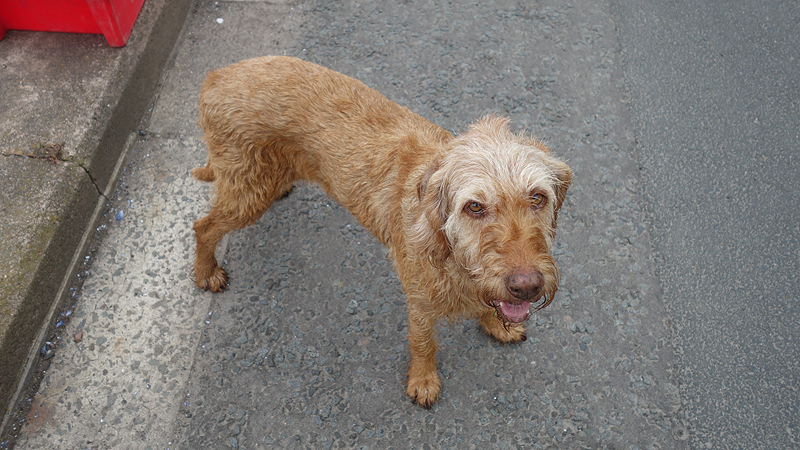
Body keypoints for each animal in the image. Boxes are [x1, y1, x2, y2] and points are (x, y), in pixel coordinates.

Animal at [192, 56, 572, 408]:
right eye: (474, 207)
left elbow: (490, 305)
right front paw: (423, 380)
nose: (527, 286)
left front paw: (495, 324)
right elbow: (423, 342)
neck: (451, 253)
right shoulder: (418, 302)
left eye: (537, 197)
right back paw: (206, 271)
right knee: (203, 227)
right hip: (247, 195)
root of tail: (216, 76)